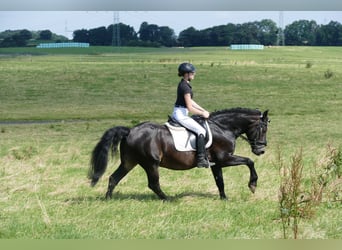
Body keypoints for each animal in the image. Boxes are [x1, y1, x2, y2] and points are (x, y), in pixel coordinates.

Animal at [88, 106, 270, 200]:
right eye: (263, 128)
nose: (260, 150)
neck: (223, 128)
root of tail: (130, 130)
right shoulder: (224, 159)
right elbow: (249, 161)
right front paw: (253, 185)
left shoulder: (216, 164)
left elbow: (220, 181)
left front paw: (224, 198)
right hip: (150, 163)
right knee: (153, 184)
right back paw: (168, 199)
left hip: (129, 162)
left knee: (114, 178)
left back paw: (108, 200)